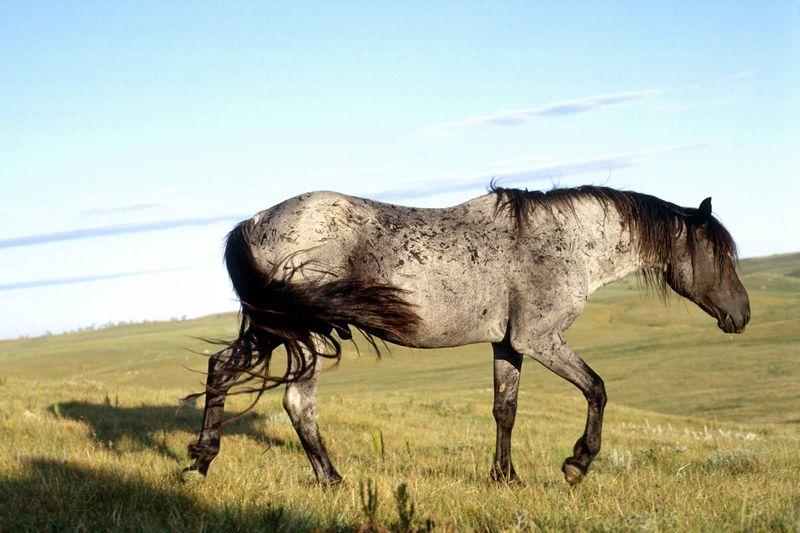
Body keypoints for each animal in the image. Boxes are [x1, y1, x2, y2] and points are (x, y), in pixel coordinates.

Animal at [181, 184, 752, 486]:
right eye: (720, 255)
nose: (742, 316)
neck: (565, 242)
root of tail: (252, 222)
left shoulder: (508, 345)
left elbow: (506, 409)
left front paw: (506, 477)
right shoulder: (540, 340)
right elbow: (597, 388)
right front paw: (576, 464)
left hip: (276, 329)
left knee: (223, 370)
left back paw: (202, 460)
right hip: (305, 335)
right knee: (297, 402)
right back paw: (333, 481)